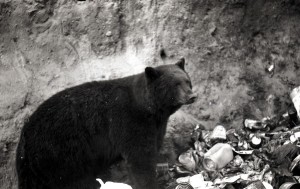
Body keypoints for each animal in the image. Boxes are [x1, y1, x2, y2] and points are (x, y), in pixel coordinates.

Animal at [16, 56, 198, 188]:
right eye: (176, 84)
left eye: (187, 81)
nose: (192, 96)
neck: (148, 108)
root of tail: (24, 144)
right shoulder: (128, 120)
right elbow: (140, 158)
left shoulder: (156, 125)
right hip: (58, 154)